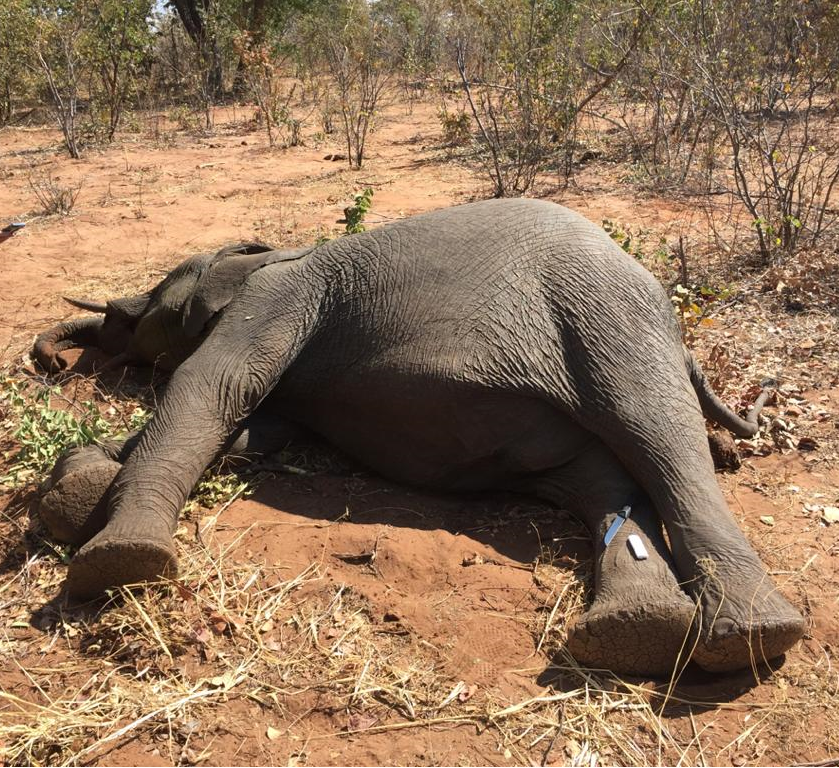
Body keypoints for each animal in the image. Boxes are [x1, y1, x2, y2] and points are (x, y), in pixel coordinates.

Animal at [32, 198, 803, 676]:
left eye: (143, 311)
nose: (51, 362)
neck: (272, 253)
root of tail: (675, 324)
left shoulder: (276, 300)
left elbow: (212, 389)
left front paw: (115, 556)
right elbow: (254, 428)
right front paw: (75, 487)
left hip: (606, 315)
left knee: (661, 440)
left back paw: (749, 637)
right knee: (603, 481)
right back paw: (637, 632)